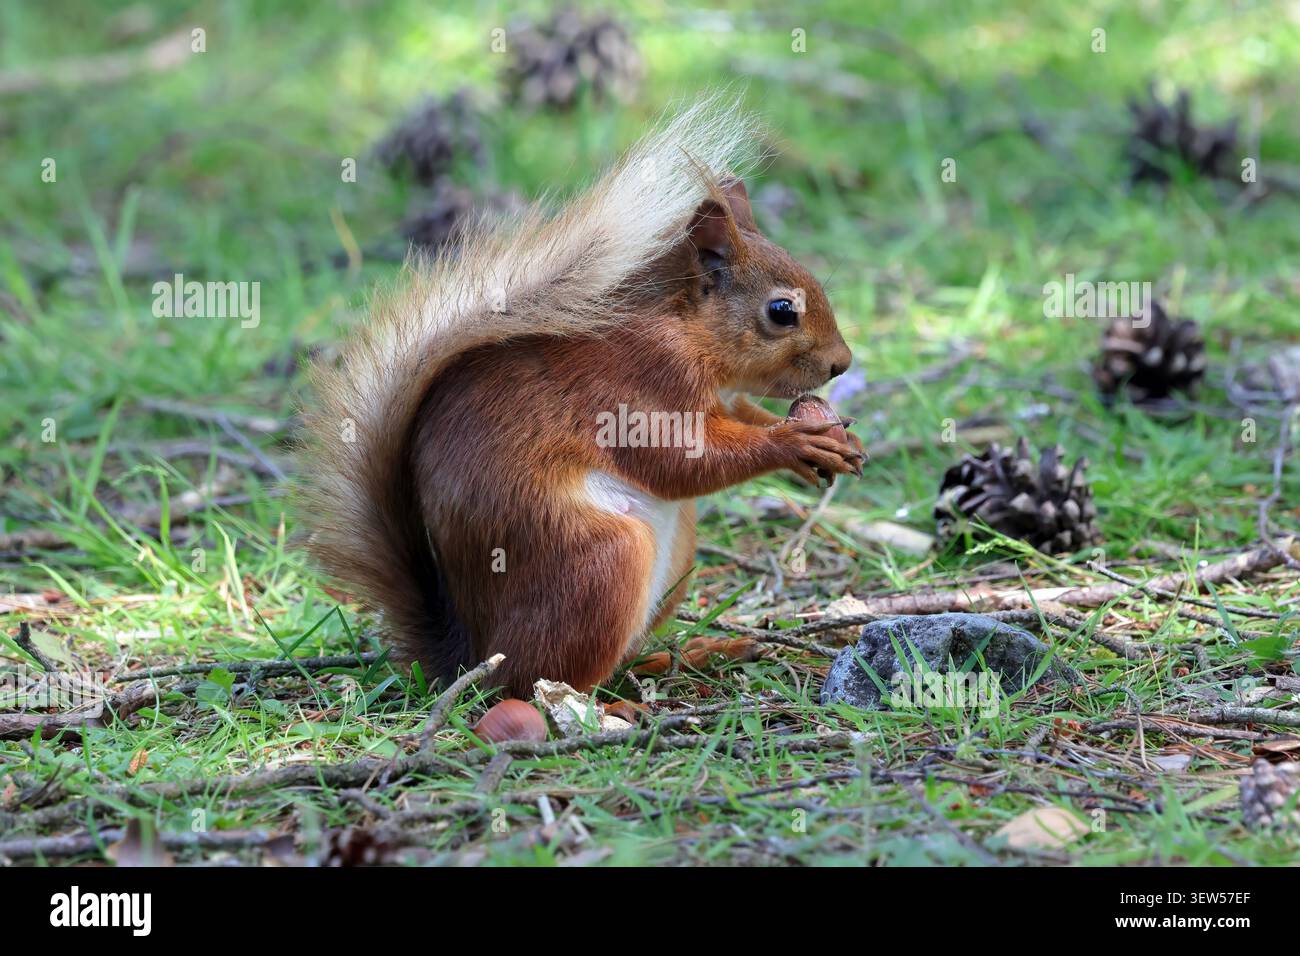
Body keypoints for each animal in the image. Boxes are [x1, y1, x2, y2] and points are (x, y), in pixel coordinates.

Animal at [302, 97, 864, 698]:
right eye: (782, 311)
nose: (842, 363)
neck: (683, 328)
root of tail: (469, 657)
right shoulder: (638, 385)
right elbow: (682, 461)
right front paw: (795, 442)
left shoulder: (722, 396)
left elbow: (740, 416)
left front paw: (832, 442)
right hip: (600, 561)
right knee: (539, 680)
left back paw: (688, 656)